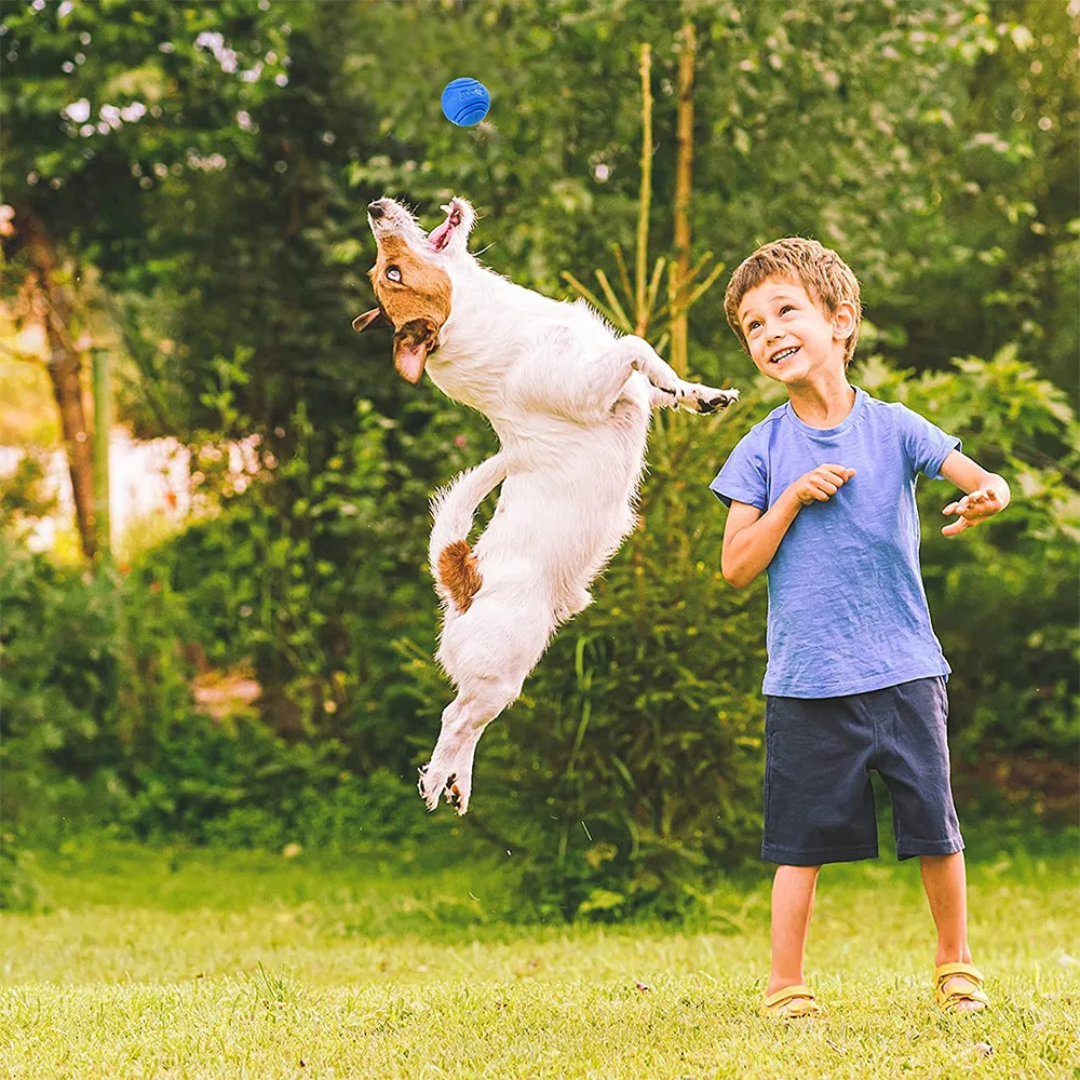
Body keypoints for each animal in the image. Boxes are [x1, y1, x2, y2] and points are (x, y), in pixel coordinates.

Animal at [354, 198, 734, 812]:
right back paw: (434, 781)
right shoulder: (593, 389)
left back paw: (458, 783)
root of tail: (463, 578)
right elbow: (636, 345)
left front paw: (698, 394)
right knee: (453, 718)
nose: (374, 206)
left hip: (506, 677)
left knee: (471, 726)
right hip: (500, 671)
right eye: (390, 272)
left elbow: (652, 378)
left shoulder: (624, 388)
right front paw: (678, 385)